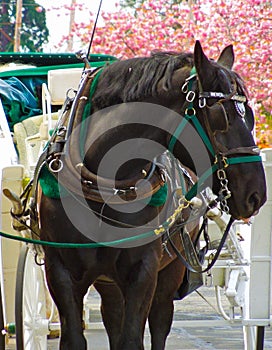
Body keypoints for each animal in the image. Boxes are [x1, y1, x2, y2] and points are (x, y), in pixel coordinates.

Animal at [36, 40, 266, 348]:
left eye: (250, 116)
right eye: (221, 116)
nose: (257, 194)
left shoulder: (143, 272)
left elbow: (132, 339)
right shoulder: (60, 271)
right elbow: (75, 337)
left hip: (169, 273)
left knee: (158, 324)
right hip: (109, 282)